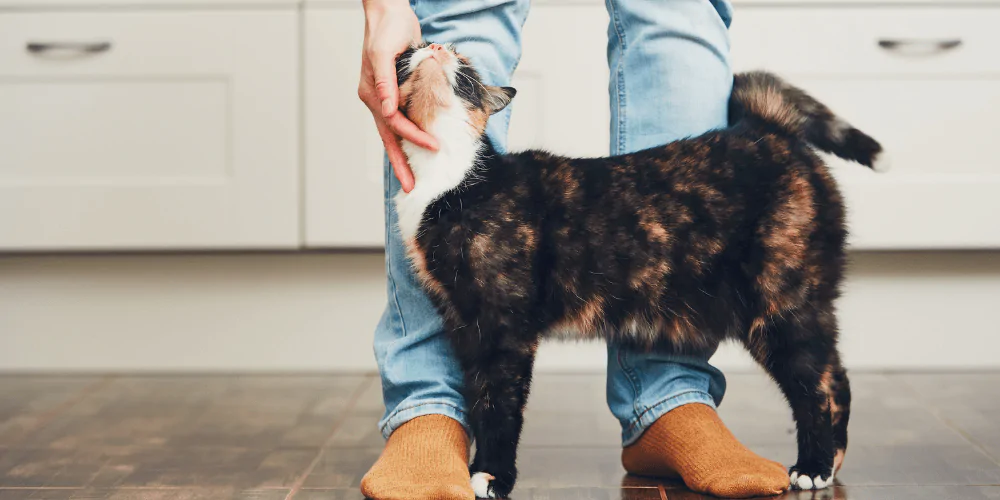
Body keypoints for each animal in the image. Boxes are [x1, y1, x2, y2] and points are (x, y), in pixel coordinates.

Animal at [388, 41, 884, 498]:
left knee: (818, 385)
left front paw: (492, 475)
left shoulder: (504, 328)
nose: (434, 45)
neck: (448, 179)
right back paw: (830, 461)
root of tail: (765, 128)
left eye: (464, 64)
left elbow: (500, 406)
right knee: (833, 377)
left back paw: (814, 467)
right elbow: (478, 399)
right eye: (410, 53)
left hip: (781, 304)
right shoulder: (464, 324)